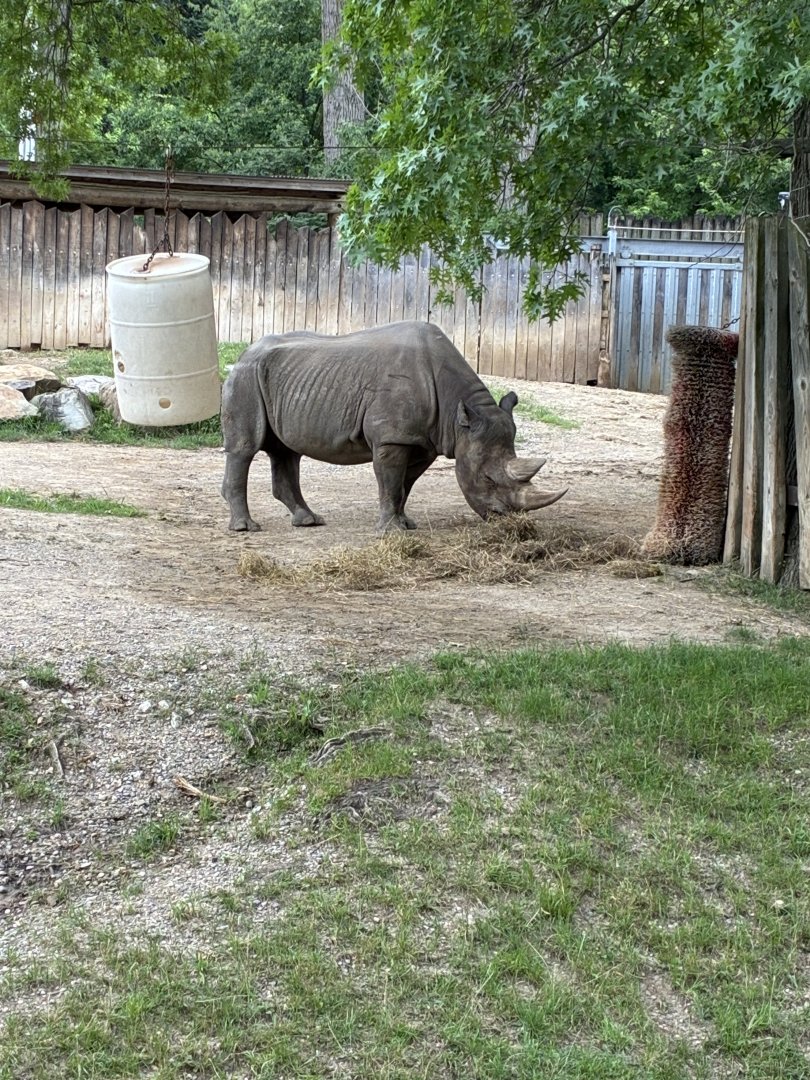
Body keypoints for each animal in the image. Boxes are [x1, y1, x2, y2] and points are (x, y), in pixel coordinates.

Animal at [220, 321, 566, 534]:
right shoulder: (392, 438)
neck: (460, 415)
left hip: (284, 380)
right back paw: (246, 528)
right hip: (246, 375)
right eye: (487, 478)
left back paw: (309, 521)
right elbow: (389, 482)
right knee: (245, 449)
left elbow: (404, 485)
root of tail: (246, 351)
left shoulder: (423, 441)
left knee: (286, 450)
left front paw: (405, 524)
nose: (504, 520)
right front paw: (390, 531)